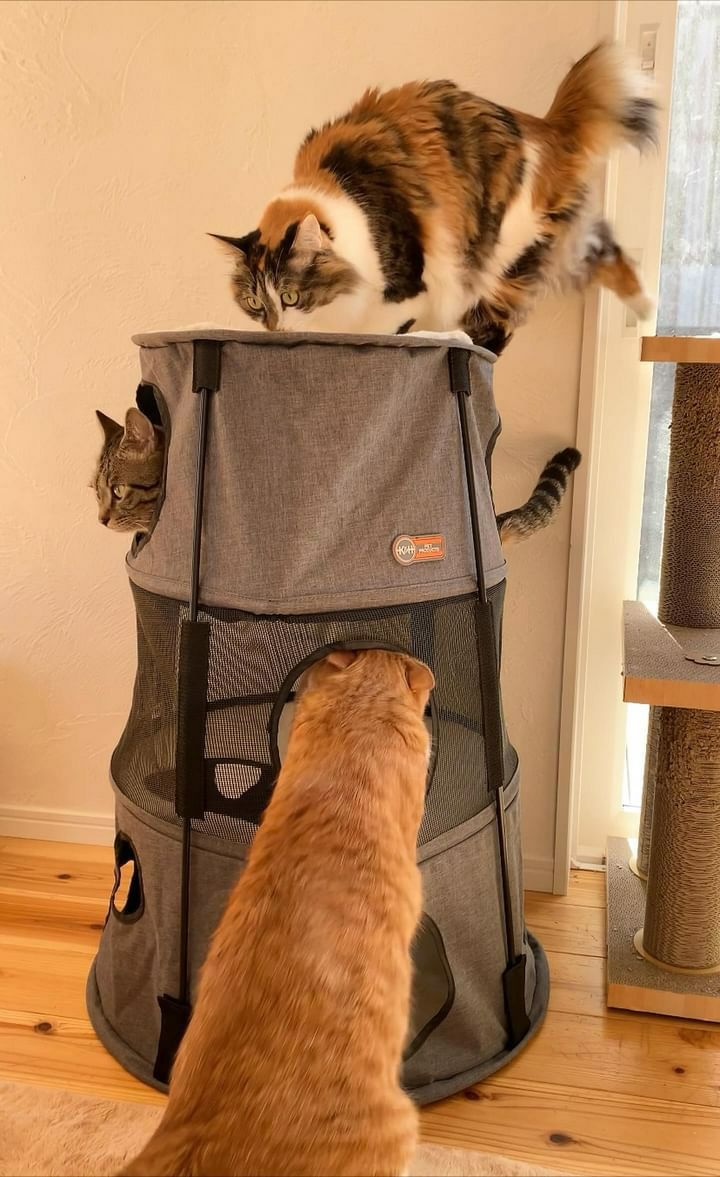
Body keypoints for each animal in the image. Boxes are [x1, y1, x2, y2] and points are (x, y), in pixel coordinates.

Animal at [211, 41, 657, 354]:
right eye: (254, 302)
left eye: (290, 296)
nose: (275, 330)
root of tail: (542, 126)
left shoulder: (405, 295)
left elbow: (383, 334)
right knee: (611, 254)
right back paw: (647, 314)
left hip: (501, 263)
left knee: (493, 334)